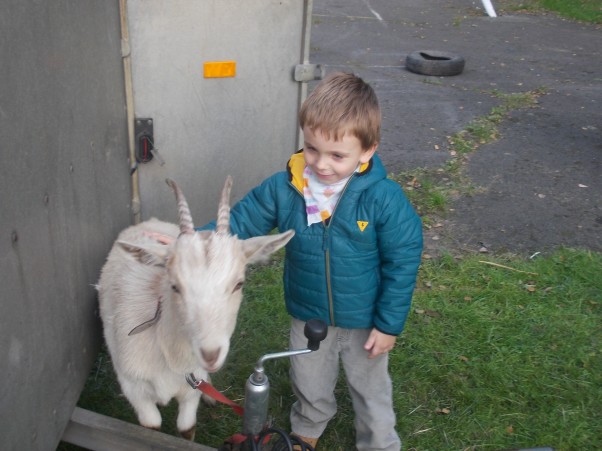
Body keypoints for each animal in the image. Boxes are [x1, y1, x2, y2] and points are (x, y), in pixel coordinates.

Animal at [97, 178, 292, 440]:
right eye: (174, 286)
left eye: (239, 283)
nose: (210, 354)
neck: (169, 356)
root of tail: (150, 221)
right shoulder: (135, 390)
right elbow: (152, 428)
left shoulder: (190, 391)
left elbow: (186, 428)